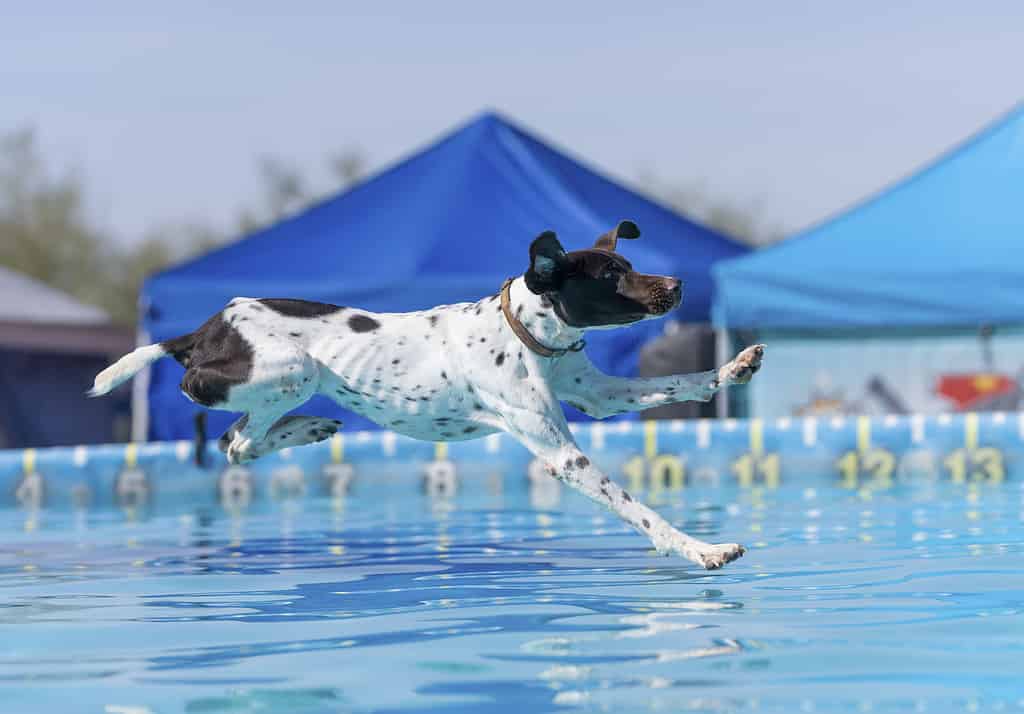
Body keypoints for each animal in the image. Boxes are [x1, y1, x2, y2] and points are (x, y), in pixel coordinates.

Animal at [92, 223, 765, 569]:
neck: (525, 334)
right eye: (611, 276)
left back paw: (307, 430)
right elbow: (641, 510)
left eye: (627, 263)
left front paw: (733, 367)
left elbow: (678, 383)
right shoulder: (562, 457)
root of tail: (198, 332)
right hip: (289, 371)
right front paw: (700, 548)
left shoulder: (598, 395)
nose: (679, 285)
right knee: (227, 432)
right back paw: (301, 425)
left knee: (236, 441)